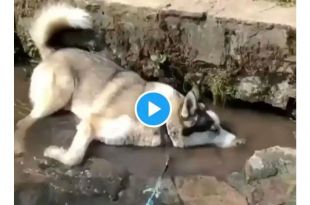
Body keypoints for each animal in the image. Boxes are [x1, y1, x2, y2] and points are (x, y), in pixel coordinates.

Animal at [14, 3, 246, 167]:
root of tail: (52, 53)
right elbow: (75, 157)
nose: (239, 141)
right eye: (213, 129)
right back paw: (18, 146)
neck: (164, 122)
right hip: (57, 96)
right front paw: (54, 153)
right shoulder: (91, 123)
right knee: (23, 123)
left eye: (220, 125)